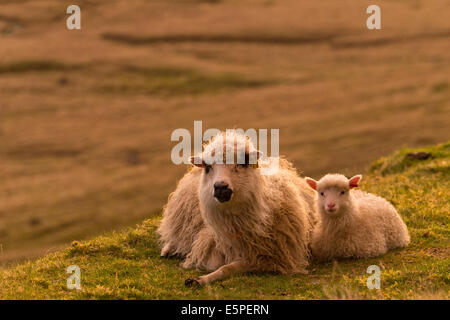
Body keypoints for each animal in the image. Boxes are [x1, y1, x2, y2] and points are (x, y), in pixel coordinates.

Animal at [158, 131, 316, 286]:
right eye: (208, 167)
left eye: (242, 163)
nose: (220, 187)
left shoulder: (267, 258)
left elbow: (228, 268)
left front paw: (202, 279)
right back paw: (167, 250)